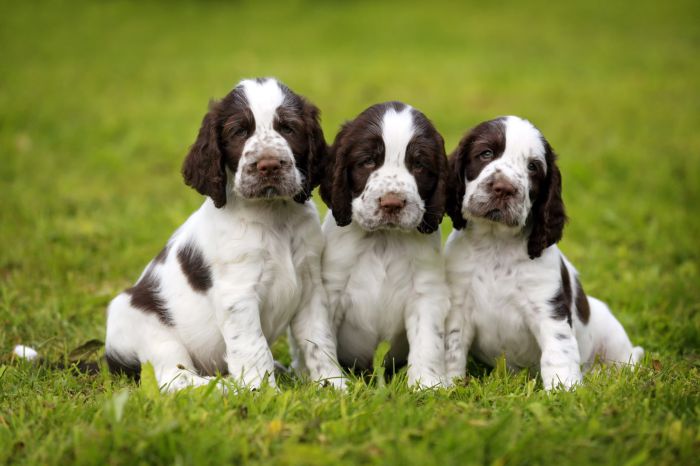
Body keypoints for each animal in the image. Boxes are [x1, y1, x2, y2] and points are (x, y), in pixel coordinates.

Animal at [104, 78, 344, 392]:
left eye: (288, 128)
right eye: (239, 131)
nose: (268, 165)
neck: (273, 216)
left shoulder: (310, 286)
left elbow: (318, 339)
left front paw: (334, 385)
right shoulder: (238, 294)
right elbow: (253, 347)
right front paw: (263, 392)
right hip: (153, 334)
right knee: (175, 379)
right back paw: (226, 386)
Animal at [320, 103, 452, 390]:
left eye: (419, 165)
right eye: (368, 161)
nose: (392, 203)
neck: (383, 239)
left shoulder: (425, 293)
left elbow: (427, 342)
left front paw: (426, 384)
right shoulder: (330, 290)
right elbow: (321, 339)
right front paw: (331, 381)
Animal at [446, 116, 644, 390]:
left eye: (532, 168)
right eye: (486, 153)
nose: (504, 188)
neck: (495, 244)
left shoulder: (548, 309)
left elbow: (558, 352)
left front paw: (565, 391)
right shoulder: (458, 305)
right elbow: (452, 348)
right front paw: (445, 385)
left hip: (610, 331)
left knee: (628, 361)